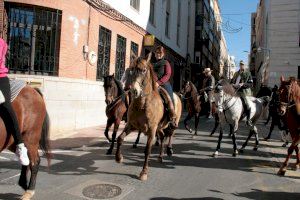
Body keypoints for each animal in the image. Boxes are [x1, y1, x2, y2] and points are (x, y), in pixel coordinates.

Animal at [115, 53, 182, 181]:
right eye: (131, 69)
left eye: (143, 70)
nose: (134, 91)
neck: (142, 104)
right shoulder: (131, 125)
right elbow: (120, 138)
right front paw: (118, 158)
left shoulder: (151, 129)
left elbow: (147, 150)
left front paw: (144, 172)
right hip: (159, 127)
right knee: (162, 136)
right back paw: (160, 156)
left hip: (172, 123)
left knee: (170, 134)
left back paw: (169, 150)